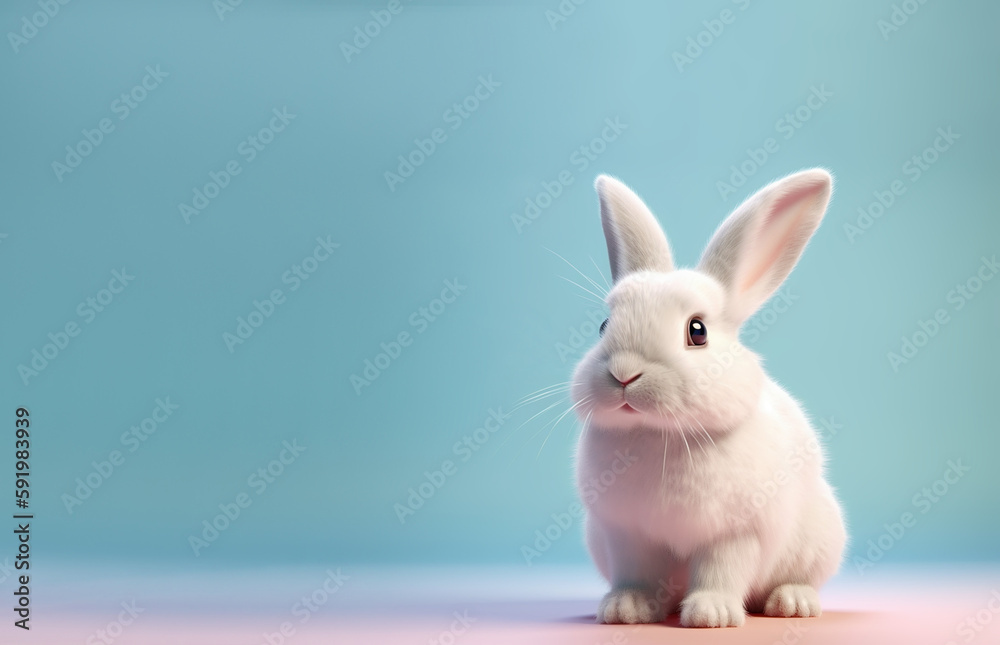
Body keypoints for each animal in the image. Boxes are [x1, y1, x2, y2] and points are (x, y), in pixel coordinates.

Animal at [571, 169, 847, 628]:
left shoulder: (737, 533)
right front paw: (625, 609)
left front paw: (710, 614)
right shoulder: (626, 533)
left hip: (819, 539)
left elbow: (721, 571)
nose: (624, 373)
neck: (662, 435)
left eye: (696, 331)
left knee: (798, 579)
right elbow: (636, 572)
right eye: (604, 326)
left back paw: (792, 603)